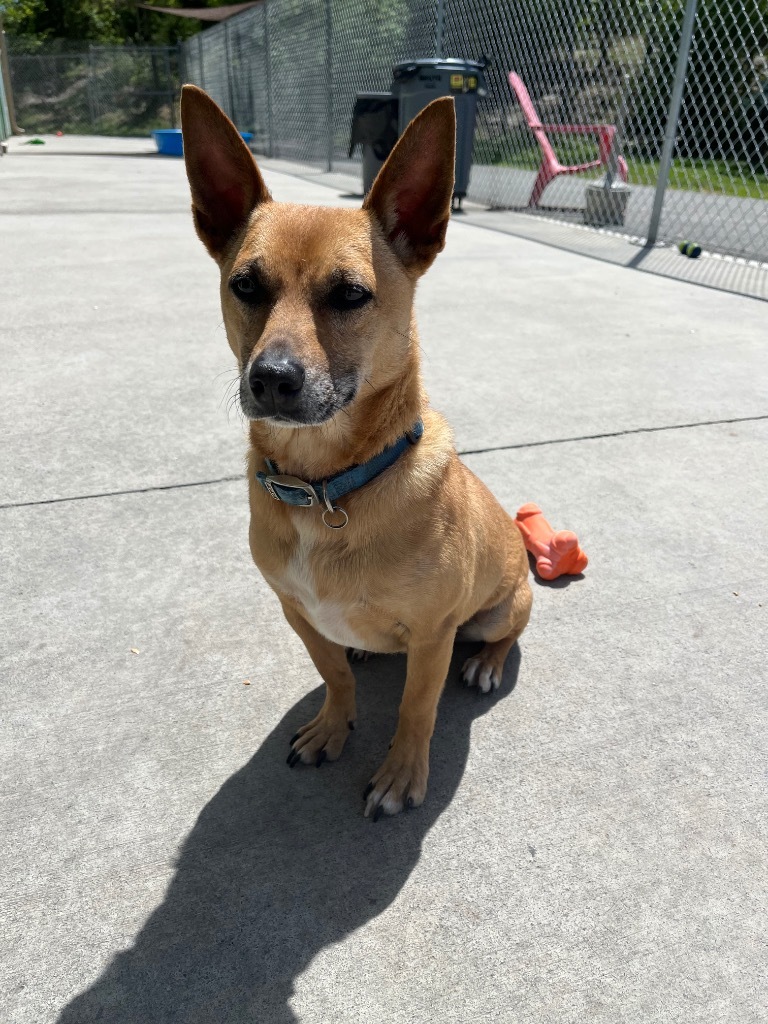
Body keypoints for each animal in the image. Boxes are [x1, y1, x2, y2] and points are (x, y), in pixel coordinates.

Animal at [182, 83, 528, 819]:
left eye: (349, 294)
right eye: (245, 285)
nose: (271, 378)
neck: (326, 486)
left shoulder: (433, 635)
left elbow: (416, 710)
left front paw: (401, 774)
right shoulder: (299, 614)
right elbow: (334, 673)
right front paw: (332, 727)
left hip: (499, 608)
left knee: (505, 635)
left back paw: (486, 663)